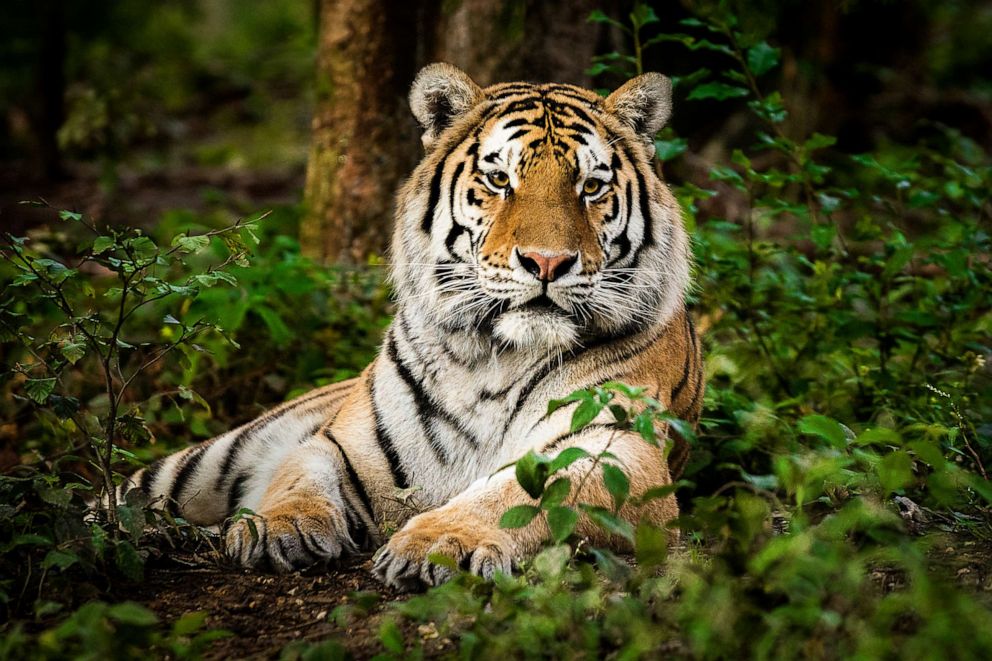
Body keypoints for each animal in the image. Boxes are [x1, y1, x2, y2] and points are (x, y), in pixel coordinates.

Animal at [116, 63, 700, 588]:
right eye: (499, 179)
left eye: (592, 186)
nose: (547, 262)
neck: (493, 358)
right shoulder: (342, 444)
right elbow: (297, 476)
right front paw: (274, 526)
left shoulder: (617, 450)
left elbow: (520, 494)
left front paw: (441, 542)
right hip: (207, 462)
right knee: (127, 491)